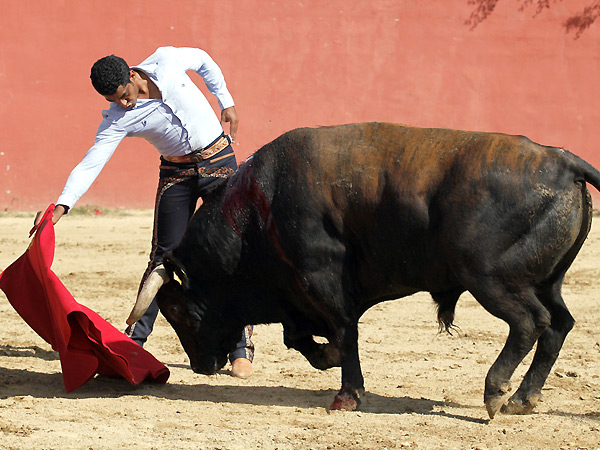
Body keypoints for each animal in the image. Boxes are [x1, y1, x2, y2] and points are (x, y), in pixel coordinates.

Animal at [126, 122, 600, 418]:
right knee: (559, 324)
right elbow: (299, 336)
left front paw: (347, 394)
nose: (201, 366)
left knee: (530, 322)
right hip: (547, 281)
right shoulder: (298, 297)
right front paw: (329, 360)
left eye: (177, 311)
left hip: (489, 278)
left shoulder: (322, 277)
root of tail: (563, 161)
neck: (260, 211)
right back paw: (523, 399)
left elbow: (343, 330)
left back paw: (496, 391)